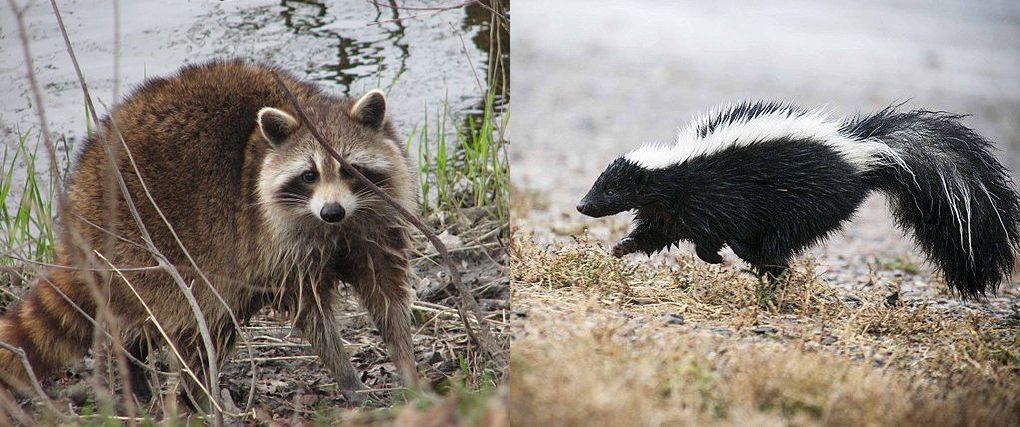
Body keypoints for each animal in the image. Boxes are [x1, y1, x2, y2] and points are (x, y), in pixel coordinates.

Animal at [0, 60, 418, 407]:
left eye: (348, 169)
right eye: (309, 175)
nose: (332, 211)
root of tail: (76, 214)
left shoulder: (373, 224)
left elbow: (386, 292)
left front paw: (406, 361)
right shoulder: (277, 241)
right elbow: (313, 314)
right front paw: (347, 375)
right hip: (146, 249)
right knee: (200, 316)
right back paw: (192, 391)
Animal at [579, 102, 1015, 297]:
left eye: (610, 190)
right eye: (598, 185)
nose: (582, 206)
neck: (676, 168)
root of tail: (863, 153)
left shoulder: (714, 192)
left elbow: (715, 227)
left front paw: (714, 256)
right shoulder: (670, 210)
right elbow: (655, 233)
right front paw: (621, 247)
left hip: (813, 199)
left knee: (781, 237)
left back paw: (768, 268)